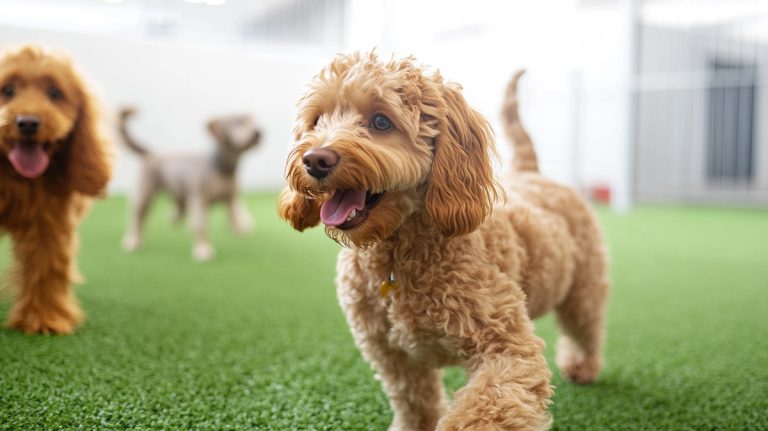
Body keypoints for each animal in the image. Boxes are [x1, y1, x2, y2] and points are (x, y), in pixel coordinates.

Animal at [0, 45, 112, 336]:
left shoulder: (49, 223)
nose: (27, 123)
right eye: (8, 90)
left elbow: (46, 265)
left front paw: (43, 318)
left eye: (54, 93)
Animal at [120, 107, 260, 264]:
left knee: (178, 212)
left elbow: (236, 216)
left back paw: (175, 219)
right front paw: (203, 250)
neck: (223, 169)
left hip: (180, 194)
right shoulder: (200, 200)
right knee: (137, 219)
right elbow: (200, 225)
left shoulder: (231, 198)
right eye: (238, 122)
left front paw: (241, 227)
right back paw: (133, 241)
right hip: (143, 196)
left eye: (253, 121)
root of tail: (150, 153)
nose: (258, 132)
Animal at [280, 54, 608, 431]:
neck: (394, 258)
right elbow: (414, 400)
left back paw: (582, 365)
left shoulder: (505, 345)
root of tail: (531, 172)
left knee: (585, 327)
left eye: (381, 121)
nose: (315, 159)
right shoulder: (390, 354)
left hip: (583, 287)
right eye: (317, 120)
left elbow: (486, 406)